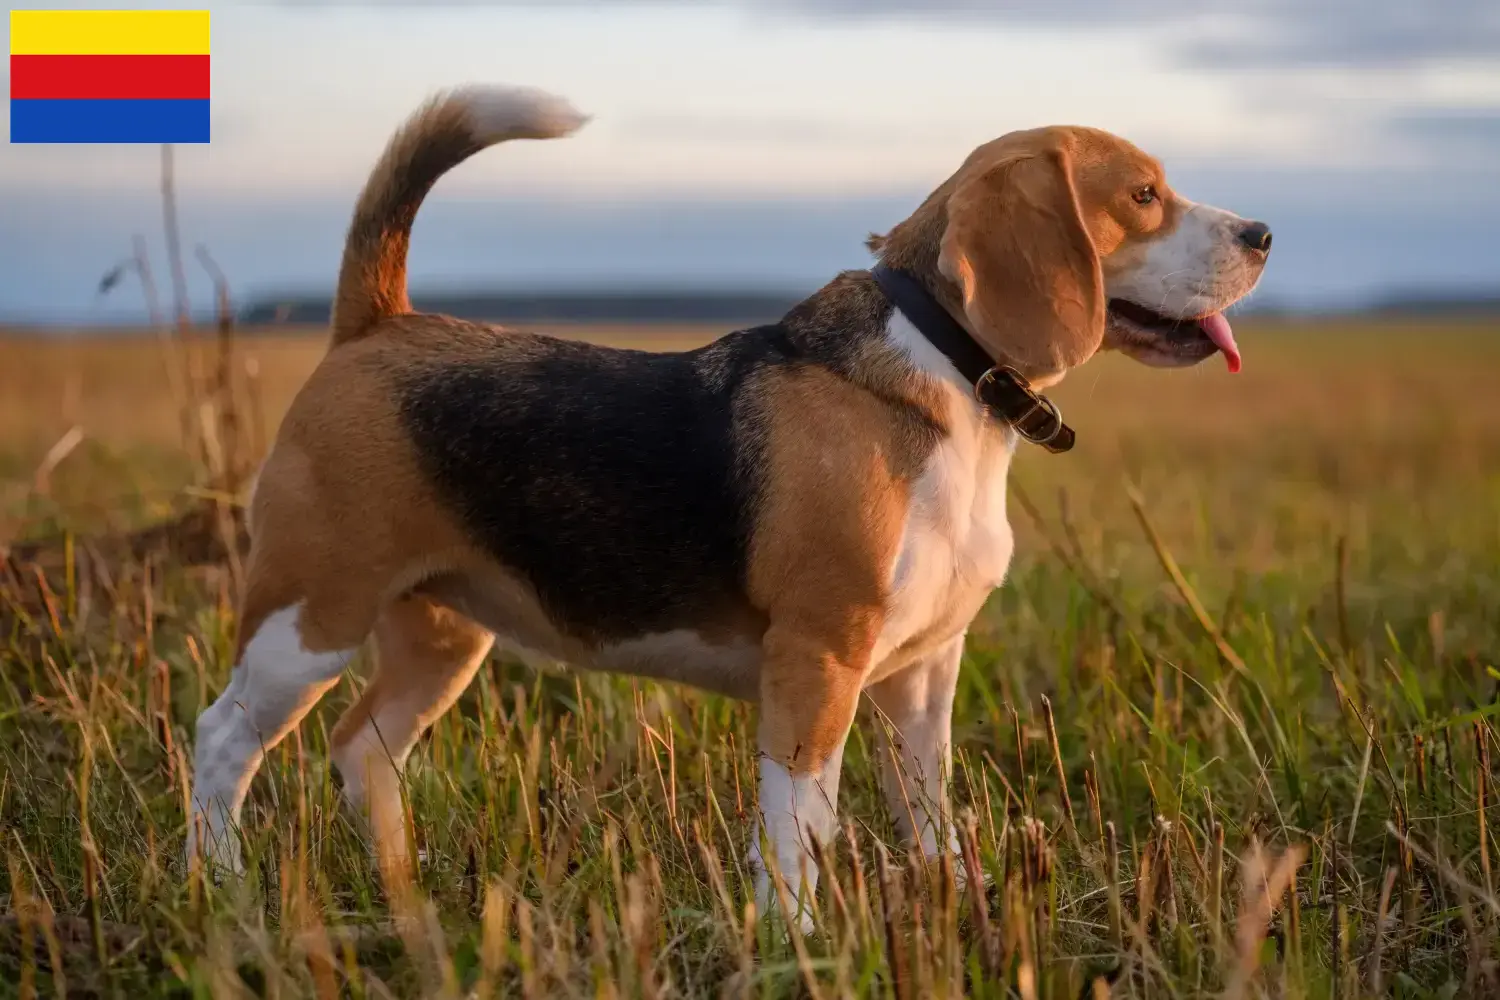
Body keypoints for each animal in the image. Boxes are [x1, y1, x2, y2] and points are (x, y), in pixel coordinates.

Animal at [181, 83, 1272, 923]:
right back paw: (222, 891)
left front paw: (957, 908)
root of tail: (378, 324)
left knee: (362, 750)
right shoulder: (817, 662)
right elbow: (796, 830)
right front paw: (800, 942)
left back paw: (404, 894)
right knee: (223, 739)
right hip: (308, 619)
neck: (948, 370)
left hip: (443, 639)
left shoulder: (923, 677)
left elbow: (929, 812)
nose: (1262, 232)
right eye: (1143, 195)